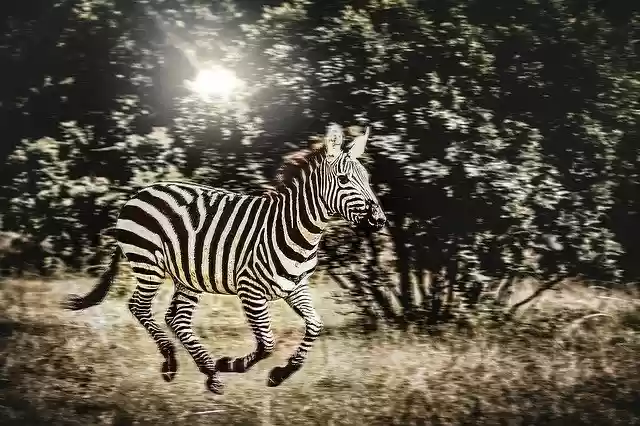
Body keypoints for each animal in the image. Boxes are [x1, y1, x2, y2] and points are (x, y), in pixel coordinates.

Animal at [63, 124, 387, 394]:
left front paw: (280, 373)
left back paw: (208, 372)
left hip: (187, 276)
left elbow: (315, 326)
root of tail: (140, 192)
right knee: (139, 307)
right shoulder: (250, 290)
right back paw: (173, 362)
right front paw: (233, 365)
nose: (380, 220)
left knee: (176, 318)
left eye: (367, 179)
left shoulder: (296, 288)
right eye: (343, 179)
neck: (297, 231)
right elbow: (267, 344)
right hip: (148, 263)